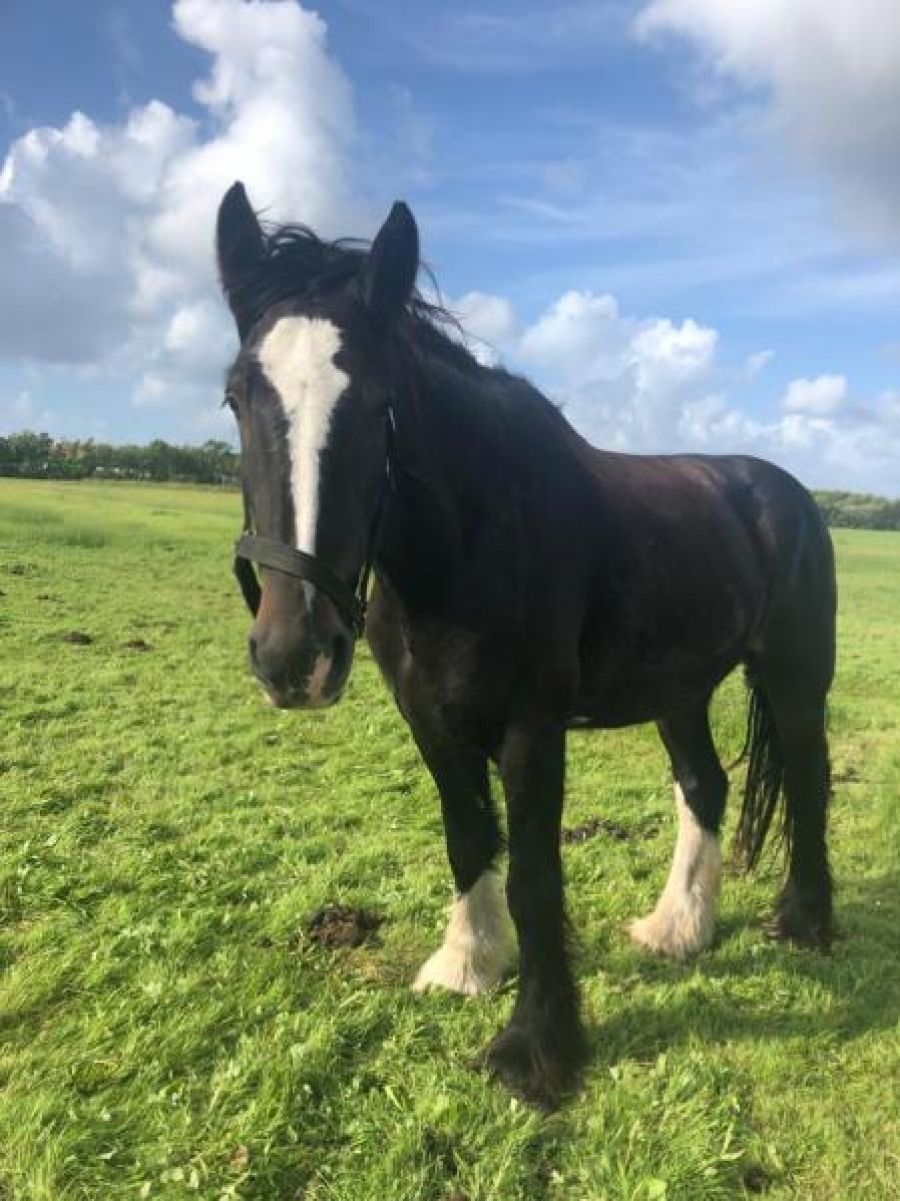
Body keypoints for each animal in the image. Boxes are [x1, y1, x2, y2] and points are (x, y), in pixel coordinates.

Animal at [215, 182, 836, 1108]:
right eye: (235, 396)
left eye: (377, 404)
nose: (294, 655)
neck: (470, 539)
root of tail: (782, 490)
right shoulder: (431, 722)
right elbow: (468, 838)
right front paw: (468, 965)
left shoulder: (530, 731)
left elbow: (537, 876)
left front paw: (537, 1048)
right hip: (680, 688)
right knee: (705, 785)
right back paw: (678, 927)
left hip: (796, 675)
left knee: (807, 777)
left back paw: (805, 920)